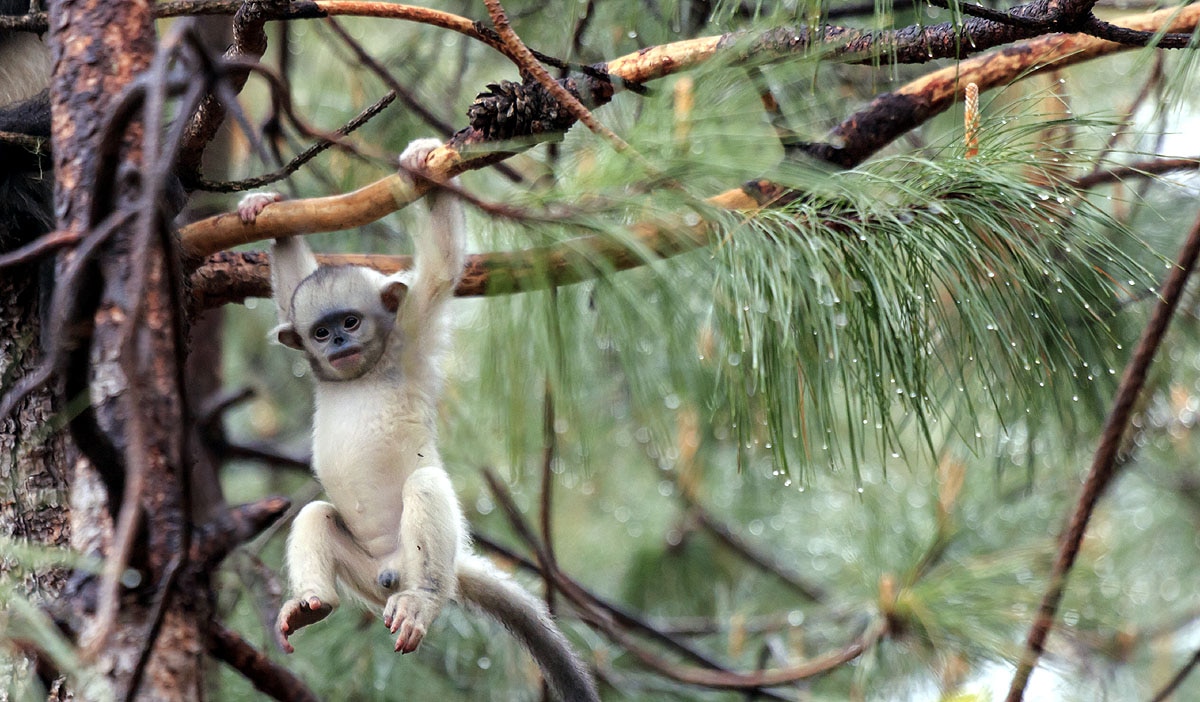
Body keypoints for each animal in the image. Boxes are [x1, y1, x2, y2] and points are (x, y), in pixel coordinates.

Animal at [242, 139, 599, 702]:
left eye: (350, 322)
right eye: (320, 333)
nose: (337, 343)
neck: (363, 372)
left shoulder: (411, 331)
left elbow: (441, 265)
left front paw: (424, 161)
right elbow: (291, 282)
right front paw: (267, 211)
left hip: (416, 563)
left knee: (426, 487)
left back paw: (422, 603)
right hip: (365, 576)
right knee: (316, 514)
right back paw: (312, 604)